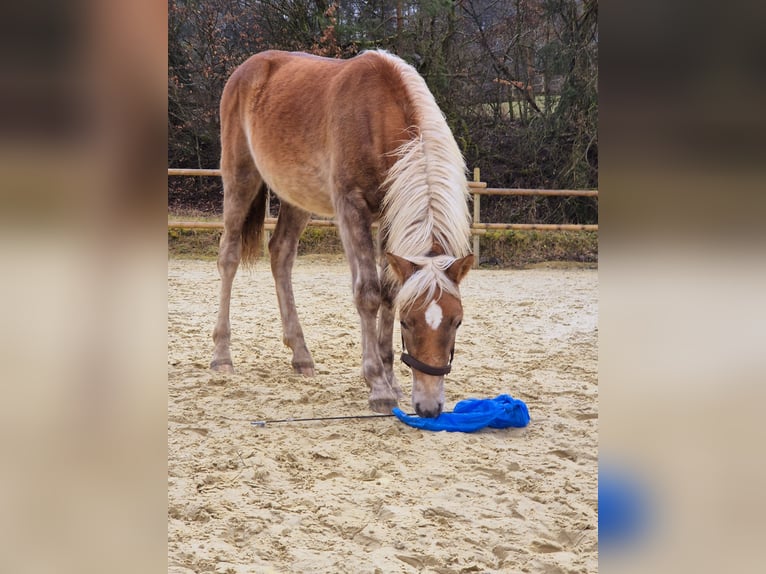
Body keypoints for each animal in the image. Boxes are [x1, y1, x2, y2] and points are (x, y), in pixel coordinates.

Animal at [210, 50, 474, 418]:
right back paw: (222, 355)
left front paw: (391, 377)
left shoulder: (391, 215)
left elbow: (389, 291)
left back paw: (301, 355)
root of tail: (247, 69)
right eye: (408, 322)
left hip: (296, 196)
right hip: (240, 179)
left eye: (457, 321)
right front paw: (378, 385)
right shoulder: (351, 208)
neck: (377, 116)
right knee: (229, 257)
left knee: (281, 254)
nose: (429, 406)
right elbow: (368, 293)